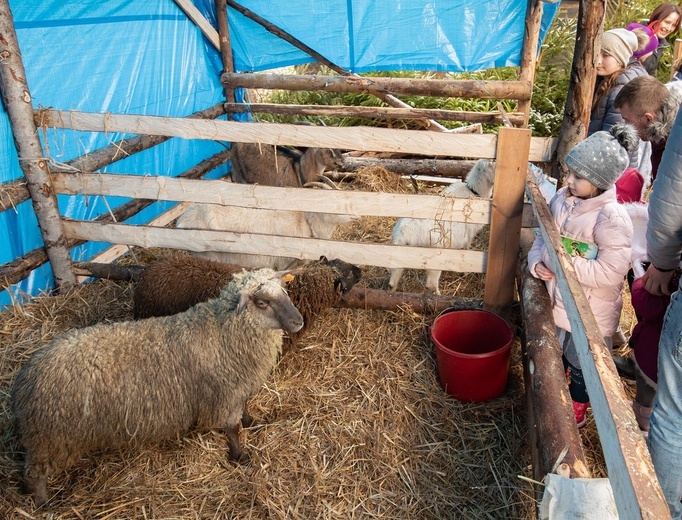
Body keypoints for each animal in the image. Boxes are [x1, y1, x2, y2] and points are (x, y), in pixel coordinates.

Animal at [9, 268, 302, 504]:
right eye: (262, 302)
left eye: (285, 291)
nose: (298, 321)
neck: (224, 331)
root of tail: (25, 379)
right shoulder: (224, 394)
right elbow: (231, 429)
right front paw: (240, 456)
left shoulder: (238, 387)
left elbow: (244, 409)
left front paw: (250, 420)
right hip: (50, 438)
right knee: (33, 474)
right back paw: (43, 503)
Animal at [388, 159, 494, 292]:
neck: (474, 191)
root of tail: (404, 231)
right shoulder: (468, 236)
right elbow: (465, 250)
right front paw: (463, 272)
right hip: (434, 255)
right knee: (431, 283)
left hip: (399, 253)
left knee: (393, 281)